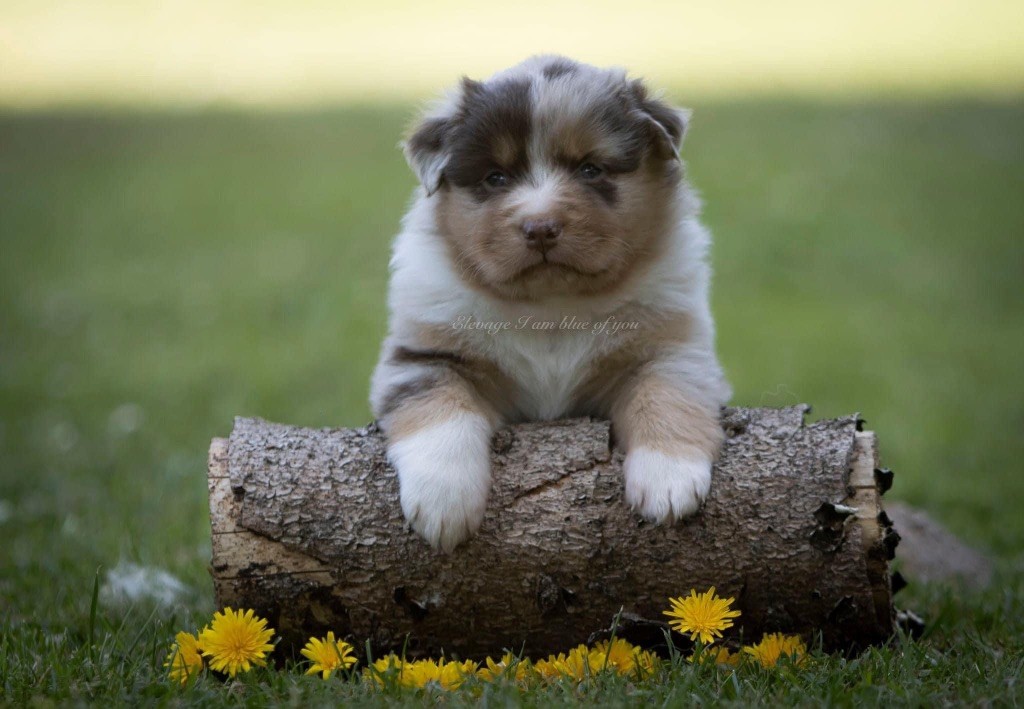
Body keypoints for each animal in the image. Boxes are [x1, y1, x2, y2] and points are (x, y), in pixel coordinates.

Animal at [372, 56, 733, 553]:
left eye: (590, 169)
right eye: (496, 177)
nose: (540, 227)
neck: (551, 307)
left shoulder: (672, 347)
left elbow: (666, 395)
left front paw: (668, 482)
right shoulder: (425, 354)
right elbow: (439, 410)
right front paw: (444, 503)